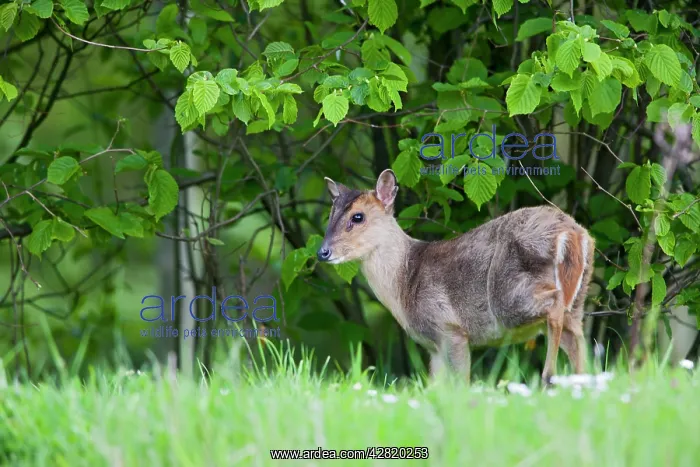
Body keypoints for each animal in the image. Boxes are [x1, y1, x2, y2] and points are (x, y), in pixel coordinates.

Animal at [317, 169, 595, 384]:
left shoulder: (449, 328)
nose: (322, 252)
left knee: (554, 306)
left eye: (358, 217)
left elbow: (461, 383)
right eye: (330, 215)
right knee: (576, 336)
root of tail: (572, 234)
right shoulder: (435, 347)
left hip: (509, 295)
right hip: (578, 298)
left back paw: (549, 376)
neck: (404, 282)